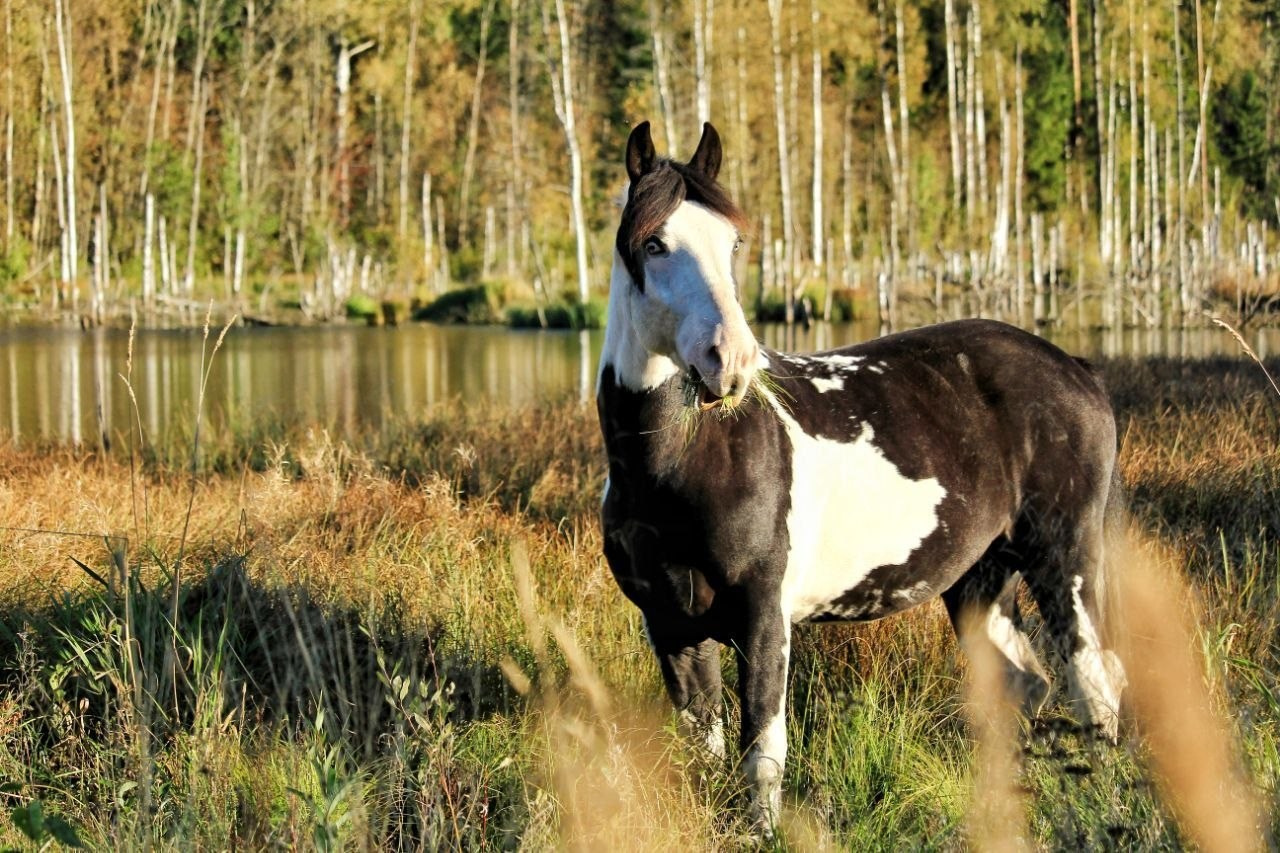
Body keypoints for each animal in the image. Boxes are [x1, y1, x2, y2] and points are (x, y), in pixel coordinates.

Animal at [596, 120, 1126, 832]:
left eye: (733, 242)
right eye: (654, 244)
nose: (730, 362)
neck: (680, 464)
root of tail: (1075, 368)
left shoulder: (764, 617)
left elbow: (762, 750)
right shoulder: (673, 626)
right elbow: (703, 749)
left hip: (1064, 562)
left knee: (1094, 686)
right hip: (980, 582)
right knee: (1029, 686)